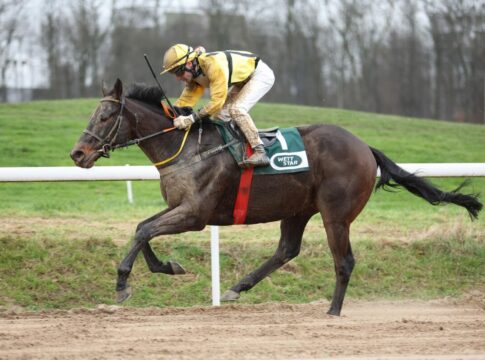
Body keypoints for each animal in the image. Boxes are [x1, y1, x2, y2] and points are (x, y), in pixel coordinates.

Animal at [69, 79, 480, 316]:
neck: (185, 146)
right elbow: (143, 228)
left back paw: (333, 311)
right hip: (297, 208)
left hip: (335, 214)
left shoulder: (195, 213)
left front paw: (123, 285)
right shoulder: (178, 207)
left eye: (104, 116)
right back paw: (237, 288)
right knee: (286, 250)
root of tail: (364, 146)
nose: (77, 154)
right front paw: (168, 266)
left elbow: (143, 231)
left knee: (344, 260)